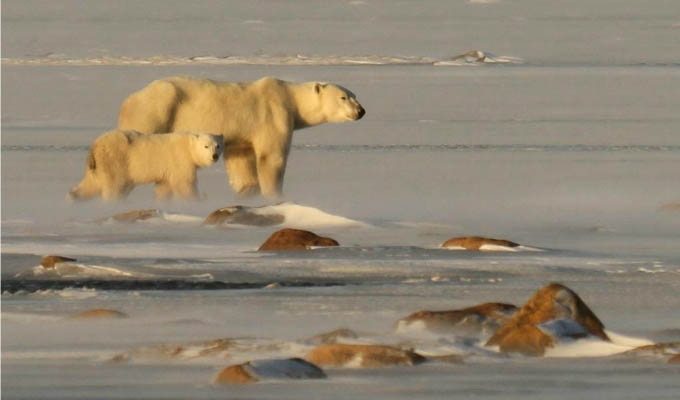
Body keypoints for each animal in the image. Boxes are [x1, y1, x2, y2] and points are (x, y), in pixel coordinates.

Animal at [67, 130, 220, 202]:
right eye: (206, 146)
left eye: (217, 145)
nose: (214, 156)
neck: (187, 146)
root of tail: (95, 145)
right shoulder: (180, 160)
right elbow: (184, 183)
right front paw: (196, 200)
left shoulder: (166, 171)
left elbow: (163, 187)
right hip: (115, 161)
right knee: (114, 186)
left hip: (98, 166)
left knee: (91, 184)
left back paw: (72, 198)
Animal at [117, 76, 366, 198]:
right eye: (343, 97)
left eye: (355, 95)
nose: (361, 111)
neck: (290, 99)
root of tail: (128, 100)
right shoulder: (273, 115)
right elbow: (272, 158)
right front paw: (276, 195)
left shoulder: (242, 137)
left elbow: (241, 162)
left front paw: (247, 191)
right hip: (158, 110)